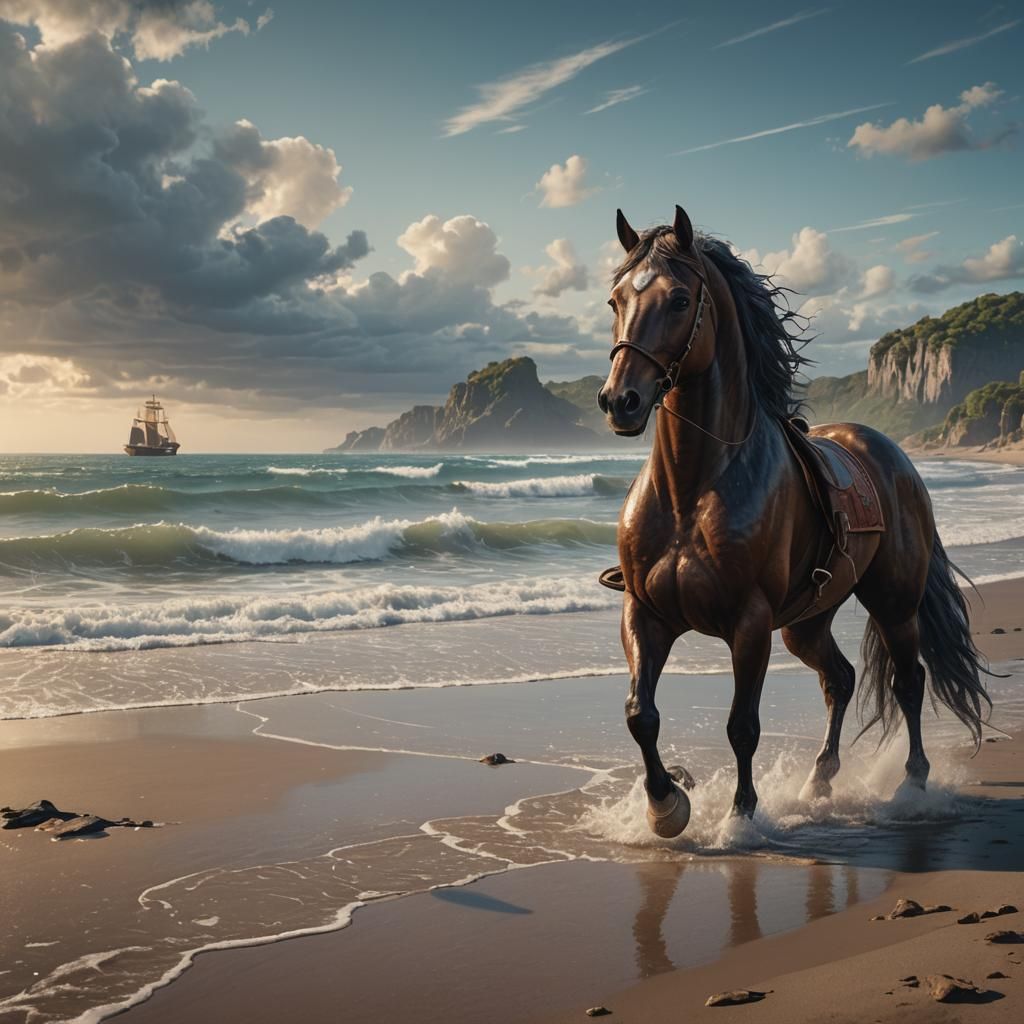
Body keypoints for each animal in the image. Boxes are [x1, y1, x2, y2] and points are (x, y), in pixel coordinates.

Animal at [596, 205, 993, 838]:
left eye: (679, 300)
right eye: (615, 300)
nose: (620, 401)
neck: (692, 488)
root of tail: (895, 455)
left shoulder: (750, 621)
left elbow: (742, 725)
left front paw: (740, 817)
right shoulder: (645, 612)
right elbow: (641, 714)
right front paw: (667, 804)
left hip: (892, 604)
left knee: (909, 682)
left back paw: (911, 785)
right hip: (805, 622)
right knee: (840, 679)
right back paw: (818, 781)